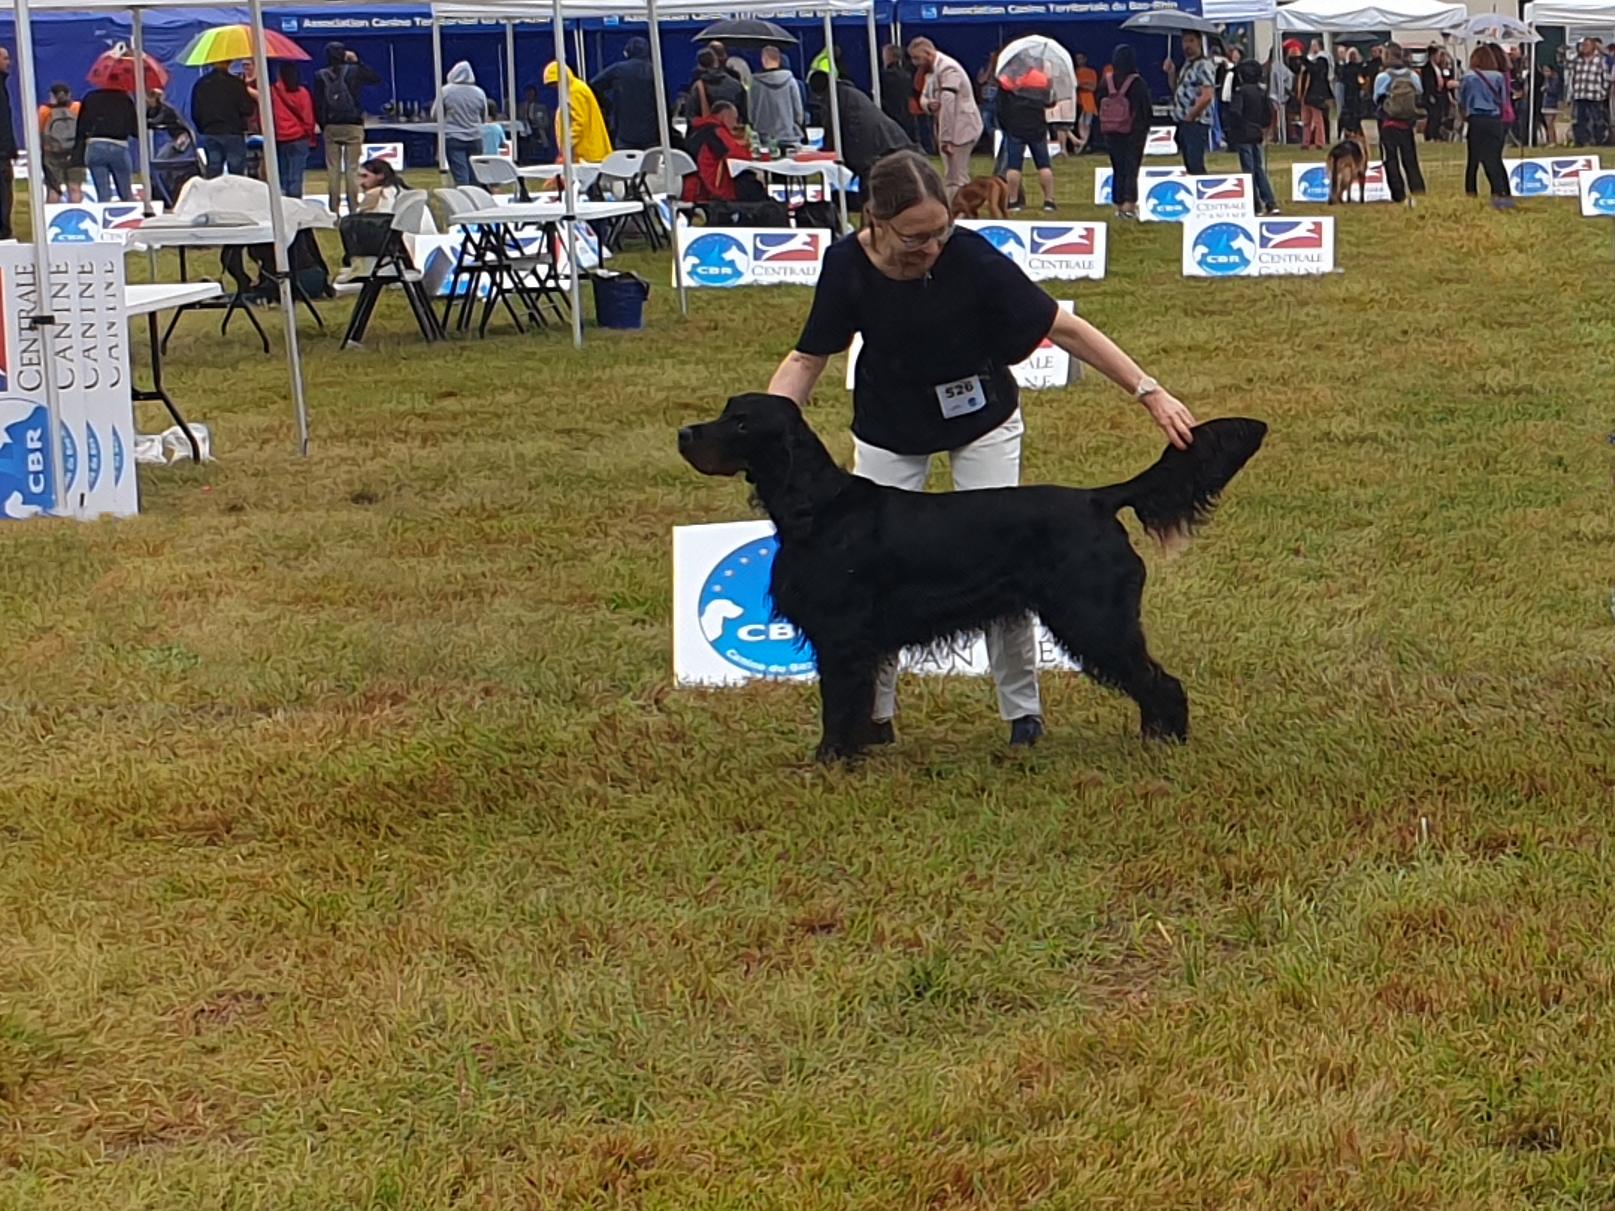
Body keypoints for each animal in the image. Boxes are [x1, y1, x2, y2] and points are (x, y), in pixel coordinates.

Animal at [675, 395, 1266, 758]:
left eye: (742, 422)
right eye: (726, 412)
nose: (683, 433)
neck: (819, 507)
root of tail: (1098, 499)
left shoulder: (841, 637)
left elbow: (838, 704)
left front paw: (830, 760)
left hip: (1094, 618)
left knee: (1160, 681)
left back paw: (1166, 742)